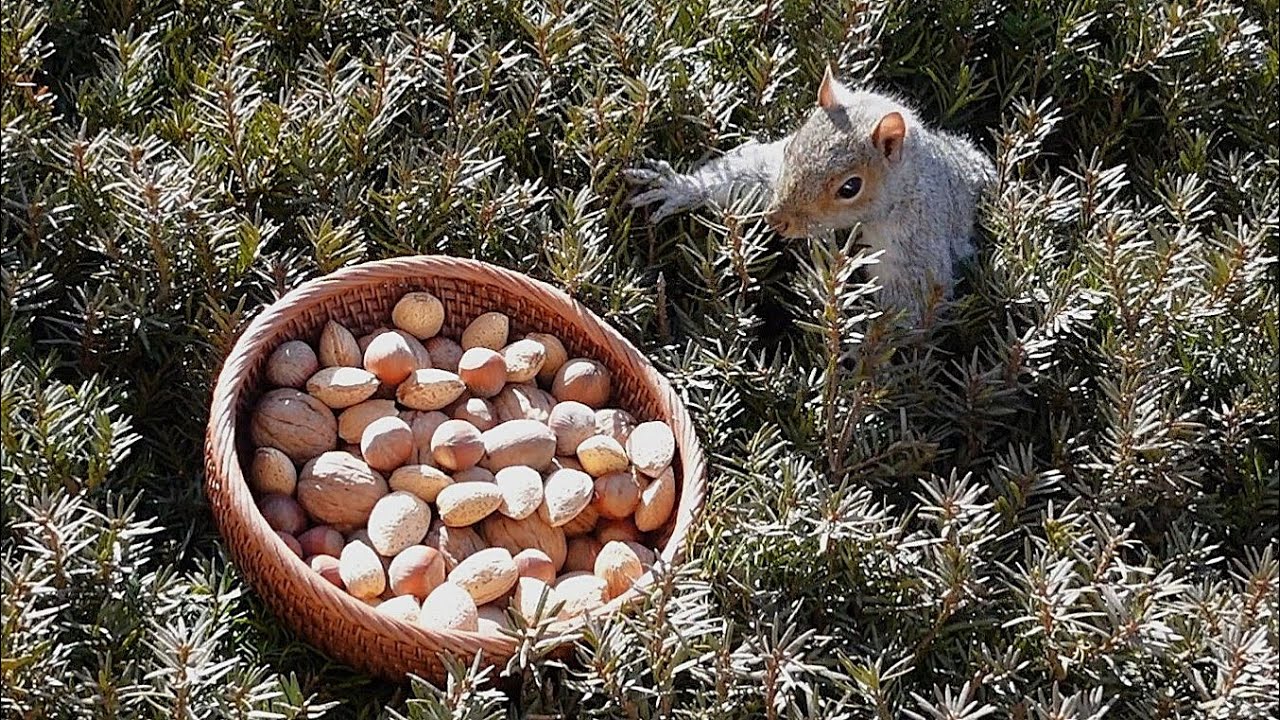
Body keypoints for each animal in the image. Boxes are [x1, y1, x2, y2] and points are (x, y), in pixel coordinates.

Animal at [626, 66, 995, 320]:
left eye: (850, 187)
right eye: (790, 148)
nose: (775, 221)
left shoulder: (916, 239)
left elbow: (912, 300)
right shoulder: (769, 172)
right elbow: (746, 173)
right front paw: (678, 187)